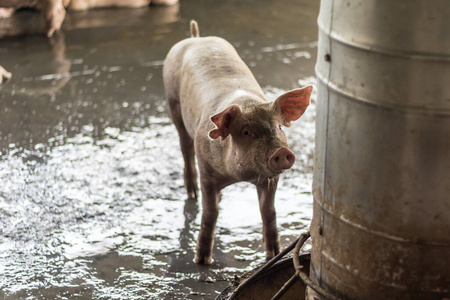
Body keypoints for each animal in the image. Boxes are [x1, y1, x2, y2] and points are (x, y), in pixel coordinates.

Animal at [163, 21, 314, 264]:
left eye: (279, 127)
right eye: (246, 131)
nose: (281, 151)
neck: (239, 177)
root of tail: (196, 37)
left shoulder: (270, 178)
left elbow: (269, 212)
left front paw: (273, 254)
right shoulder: (206, 170)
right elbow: (210, 214)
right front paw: (202, 261)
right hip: (173, 102)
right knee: (184, 147)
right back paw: (191, 194)